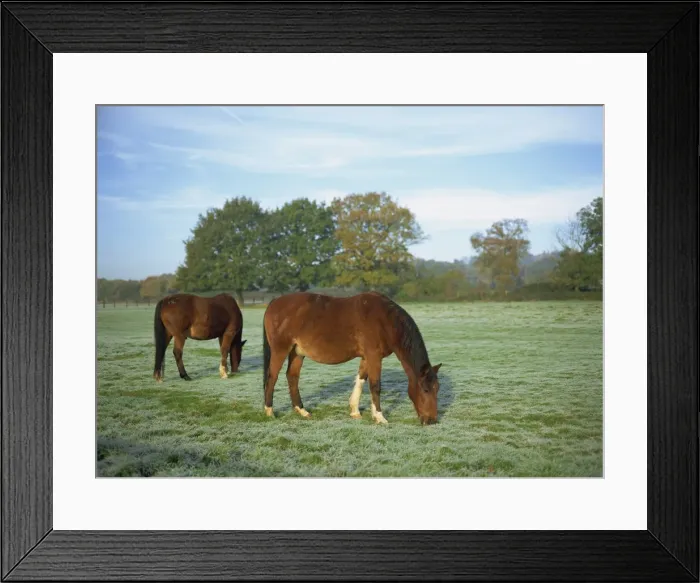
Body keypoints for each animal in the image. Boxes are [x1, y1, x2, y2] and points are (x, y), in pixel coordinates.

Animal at [262, 291, 442, 425]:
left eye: (437, 389)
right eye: (425, 390)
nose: (432, 420)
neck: (385, 320)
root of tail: (275, 301)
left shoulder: (367, 357)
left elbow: (361, 380)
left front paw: (356, 411)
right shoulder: (374, 356)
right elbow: (375, 385)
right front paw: (380, 417)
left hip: (298, 352)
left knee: (292, 377)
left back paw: (302, 411)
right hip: (280, 350)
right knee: (272, 377)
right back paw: (269, 411)